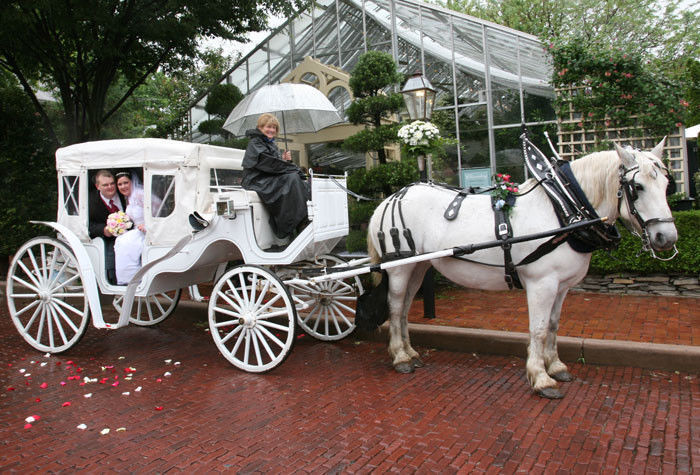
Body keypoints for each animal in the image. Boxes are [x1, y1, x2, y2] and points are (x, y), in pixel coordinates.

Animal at [364, 140, 676, 398]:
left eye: (667, 184)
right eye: (638, 187)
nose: (667, 238)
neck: (563, 208)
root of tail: (389, 199)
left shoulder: (562, 286)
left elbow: (553, 324)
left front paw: (556, 366)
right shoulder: (542, 283)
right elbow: (537, 329)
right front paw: (541, 378)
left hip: (418, 265)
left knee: (405, 308)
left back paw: (411, 353)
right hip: (399, 268)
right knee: (395, 308)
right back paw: (400, 357)